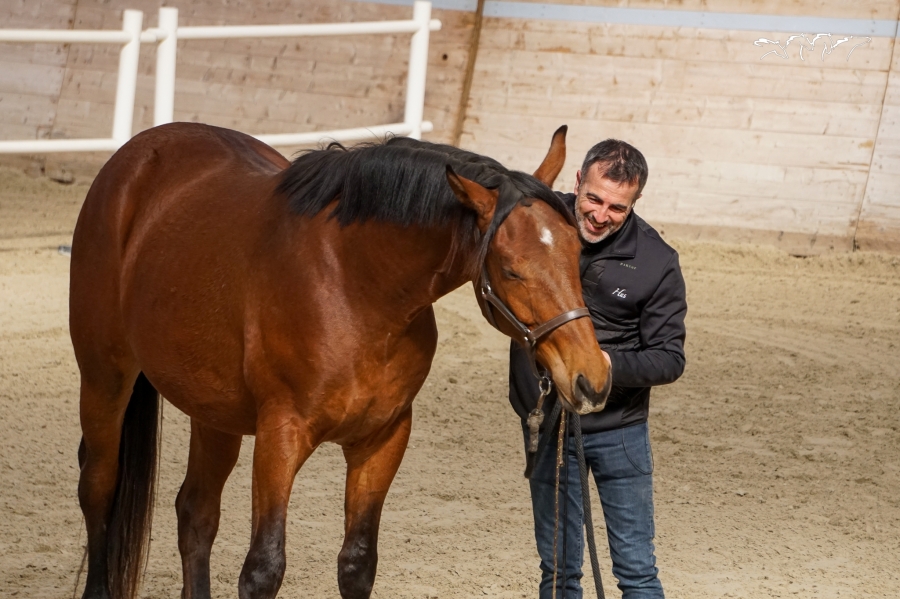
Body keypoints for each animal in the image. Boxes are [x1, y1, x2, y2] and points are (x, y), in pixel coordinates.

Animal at [69, 122, 611, 599]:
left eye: (576, 252)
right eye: (512, 270)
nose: (593, 378)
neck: (357, 286)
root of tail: (135, 155)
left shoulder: (383, 439)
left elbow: (357, 563)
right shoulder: (280, 438)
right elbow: (263, 569)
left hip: (213, 412)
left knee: (196, 513)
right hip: (104, 380)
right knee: (98, 489)